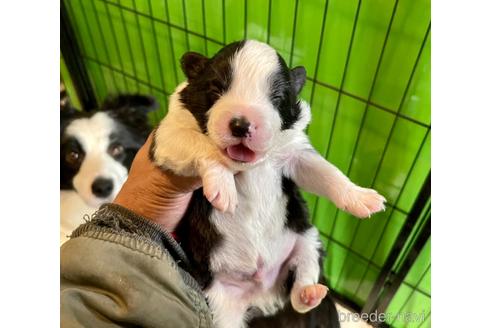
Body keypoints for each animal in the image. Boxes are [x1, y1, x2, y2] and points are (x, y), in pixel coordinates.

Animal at [152, 39, 386, 328]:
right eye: (216, 89)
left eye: (276, 99)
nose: (241, 124)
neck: (249, 167)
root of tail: (264, 295)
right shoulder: (169, 135)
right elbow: (200, 144)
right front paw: (223, 187)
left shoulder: (296, 152)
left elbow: (327, 173)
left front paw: (361, 197)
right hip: (220, 303)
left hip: (307, 238)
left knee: (302, 281)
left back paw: (309, 293)